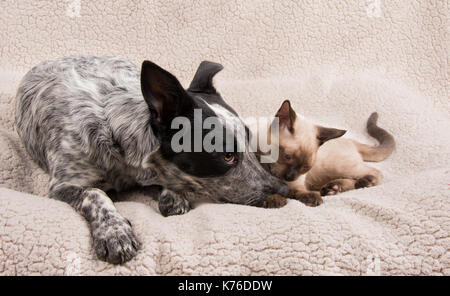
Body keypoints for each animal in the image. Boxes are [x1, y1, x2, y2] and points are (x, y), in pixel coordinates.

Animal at [15, 55, 288, 264]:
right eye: (227, 156)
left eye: (250, 141)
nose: (283, 189)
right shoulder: (63, 184)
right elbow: (94, 194)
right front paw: (115, 232)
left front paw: (172, 196)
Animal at [262, 100, 396, 208]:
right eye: (287, 156)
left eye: (306, 167)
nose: (289, 177)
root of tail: (350, 140)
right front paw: (274, 200)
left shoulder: (295, 182)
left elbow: (294, 189)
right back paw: (333, 188)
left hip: (338, 167)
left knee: (375, 172)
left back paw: (363, 182)